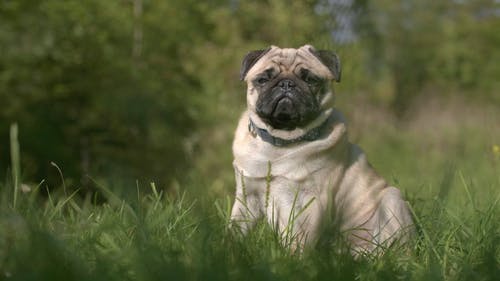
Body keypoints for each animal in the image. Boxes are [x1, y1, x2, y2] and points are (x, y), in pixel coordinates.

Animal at [230, 44, 414, 254]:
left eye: (310, 80)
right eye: (263, 80)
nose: (286, 84)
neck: (281, 143)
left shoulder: (311, 200)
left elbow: (300, 239)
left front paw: (293, 259)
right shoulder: (247, 197)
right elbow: (235, 228)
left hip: (392, 199)